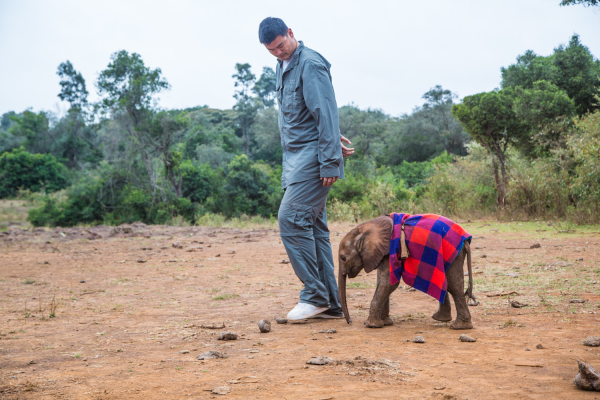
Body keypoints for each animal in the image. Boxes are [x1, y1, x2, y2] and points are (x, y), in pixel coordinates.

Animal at [338, 217, 474, 330]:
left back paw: (459, 327)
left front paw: (370, 325)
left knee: (454, 286)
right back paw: (442, 319)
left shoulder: (389, 249)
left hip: (455, 254)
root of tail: (466, 239)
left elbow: (387, 283)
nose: (350, 321)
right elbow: (384, 282)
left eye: (343, 258)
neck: (364, 230)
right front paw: (386, 323)